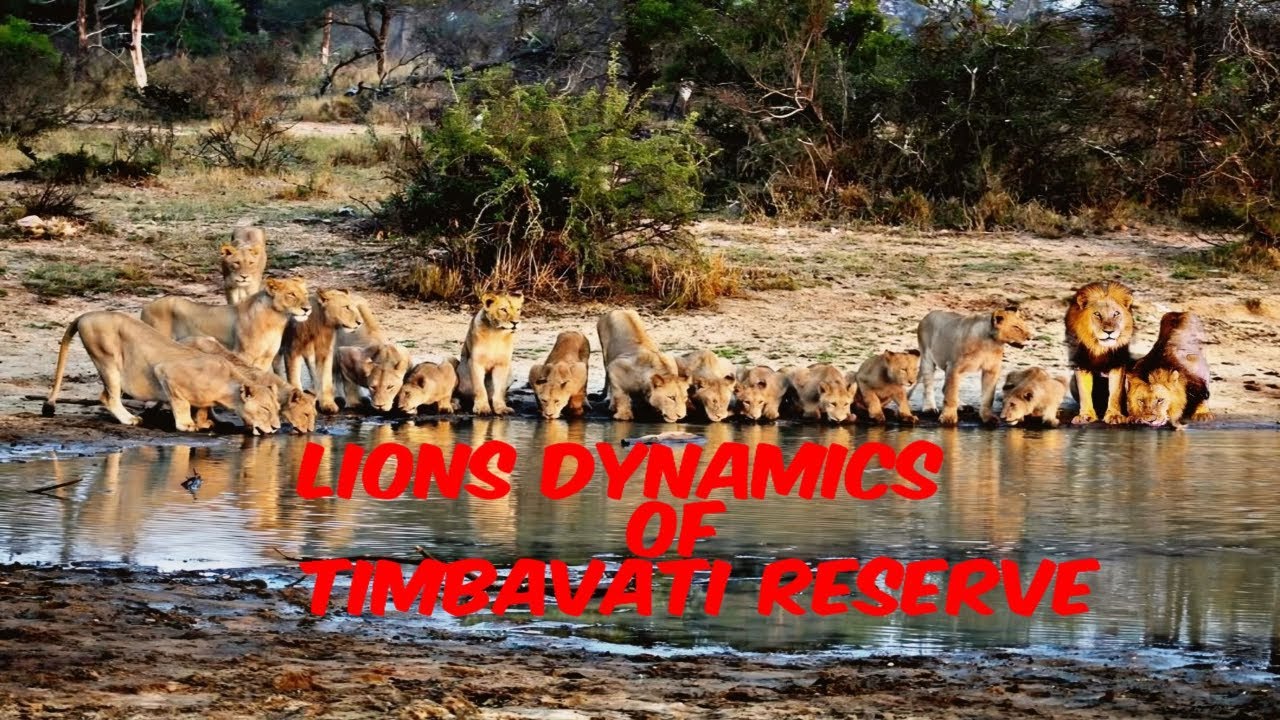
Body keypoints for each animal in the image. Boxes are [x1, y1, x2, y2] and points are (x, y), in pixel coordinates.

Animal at [43, 311, 281, 434]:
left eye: (277, 409)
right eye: (265, 409)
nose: (276, 428)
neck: (227, 386)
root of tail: (88, 313)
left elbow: (203, 407)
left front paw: (204, 422)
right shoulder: (167, 372)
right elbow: (181, 403)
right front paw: (187, 425)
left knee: (104, 395)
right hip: (107, 358)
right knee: (108, 397)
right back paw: (130, 419)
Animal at [141, 277, 312, 371]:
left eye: (306, 294)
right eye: (291, 294)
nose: (307, 309)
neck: (276, 320)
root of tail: (146, 306)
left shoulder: (266, 359)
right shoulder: (243, 355)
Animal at [1065, 281, 1135, 425]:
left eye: (1116, 314)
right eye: (1097, 314)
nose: (1109, 332)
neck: (1099, 347)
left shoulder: (1117, 362)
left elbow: (1115, 391)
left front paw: (1114, 415)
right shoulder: (1081, 362)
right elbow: (1084, 391)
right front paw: (1085, 415)